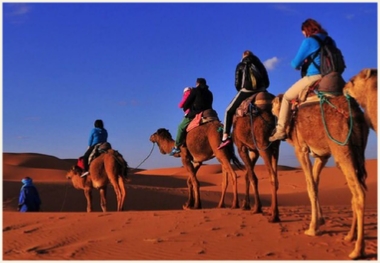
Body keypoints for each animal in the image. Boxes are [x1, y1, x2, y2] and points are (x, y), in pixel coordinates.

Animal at [230, 91, 280, 223]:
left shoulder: (242, 147)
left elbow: (252, 177)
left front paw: (256, 207)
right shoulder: (253, 149)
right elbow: (248, 175)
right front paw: (246, 205)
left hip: (263, 146)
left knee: (272, 176)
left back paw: (274, 216)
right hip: (275, 146)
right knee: (275, 176)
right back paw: (273, 212)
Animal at [272, 92, 370, 260]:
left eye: (272, 103)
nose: (271, 106)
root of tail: (355, 113)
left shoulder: (301, 149)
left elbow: (310, 186)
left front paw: (312, 228)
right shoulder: (322, 155)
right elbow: (315, 183)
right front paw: (320, 221)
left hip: (341, 148)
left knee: (359, 193)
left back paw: (358, 250)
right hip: (357, 152)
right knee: (355, 190)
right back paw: (349, 236)